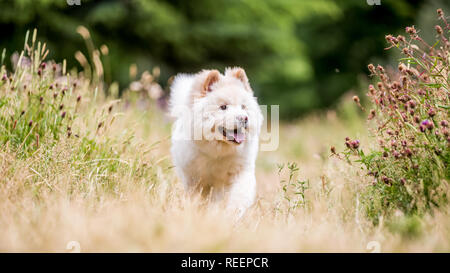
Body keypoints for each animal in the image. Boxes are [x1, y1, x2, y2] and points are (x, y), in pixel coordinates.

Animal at [171, 66, 266, 215]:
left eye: (243, 107)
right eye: (223, 107)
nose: (244, 118)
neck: (218, 151)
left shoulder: (240, 172)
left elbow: (239, 195)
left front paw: (232, 213)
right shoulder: (193, 176)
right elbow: (196, 195)